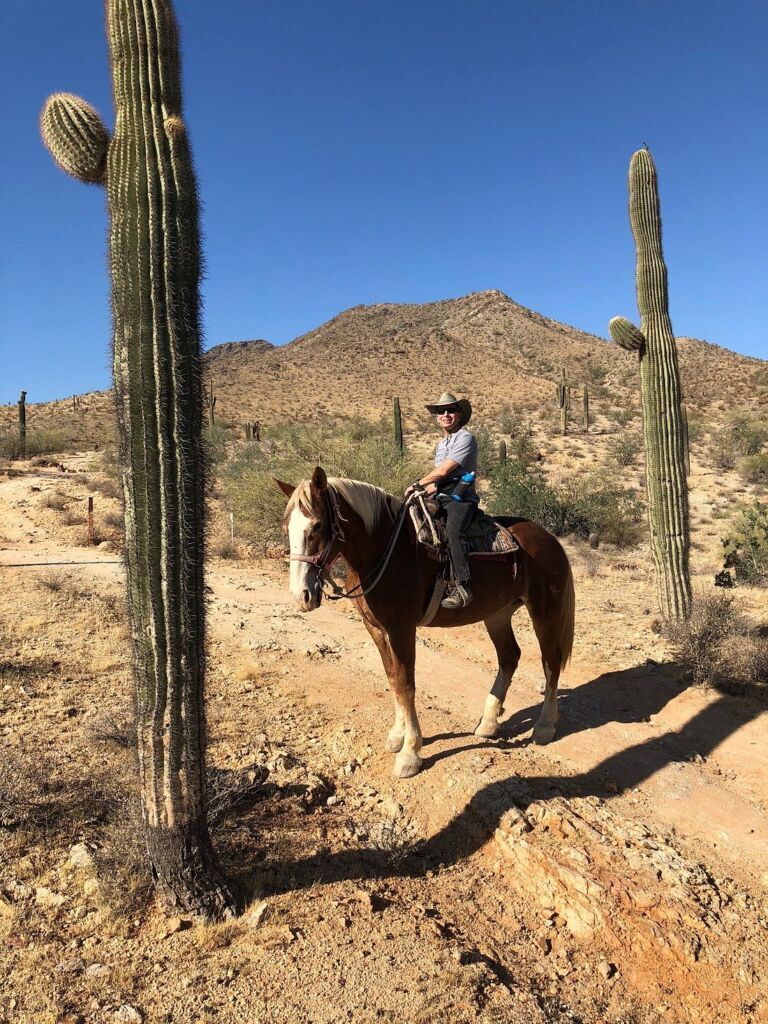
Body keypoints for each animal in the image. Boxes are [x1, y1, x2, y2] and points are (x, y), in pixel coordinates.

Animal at [275, 467, 575, 779]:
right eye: (287, 528)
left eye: (318, 526)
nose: (301, 595)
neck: (384, 551)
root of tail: (549, 538)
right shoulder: (376, 629)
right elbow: (392, 678)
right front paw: (397, 735)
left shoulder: (401, 629)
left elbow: (406, 684)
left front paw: (410, 753)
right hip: (498, 614)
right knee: (509, 657)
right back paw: (489, 723)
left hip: (545, 612)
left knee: (550, 661)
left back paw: (544, 726)